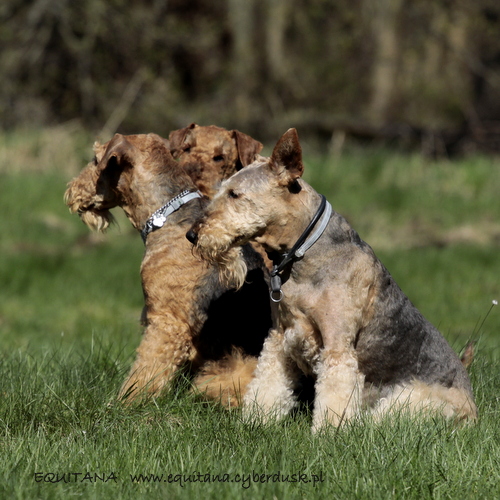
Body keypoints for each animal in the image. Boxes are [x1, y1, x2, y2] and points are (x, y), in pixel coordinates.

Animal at [65, 134, 274, 406]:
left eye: (94, 159)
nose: (70, 190)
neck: (168, 215)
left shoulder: (168, 321)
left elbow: (145, 370)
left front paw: (123, 404)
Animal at [188, 129, 476, 430]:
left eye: (235, 194)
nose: (192, 235)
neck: (304, 254)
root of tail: (475, 412)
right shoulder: (279, 337)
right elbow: (268, 383)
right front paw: (257, 420)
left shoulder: (337, 347)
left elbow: (335, 395)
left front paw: (328, 432)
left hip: (407, 401)